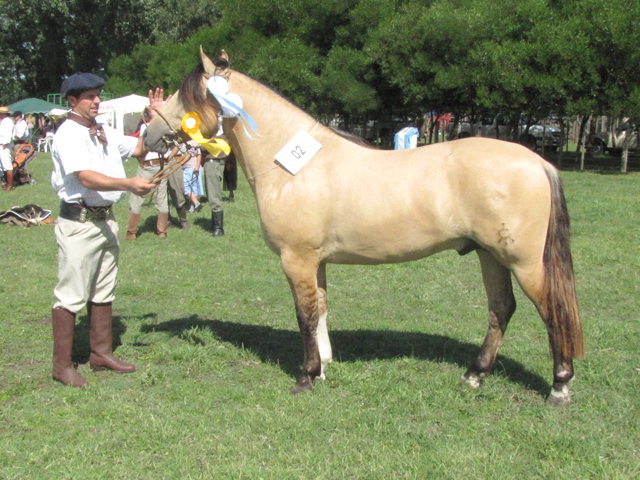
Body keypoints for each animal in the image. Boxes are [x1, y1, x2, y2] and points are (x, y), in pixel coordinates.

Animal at [145, 48, 584, 404]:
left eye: (186, 95)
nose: (149, 134)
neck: (291, 165)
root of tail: (537, 161)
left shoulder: (297, 259)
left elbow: (304, 315)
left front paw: (305, 377)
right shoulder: (316, 262)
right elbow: (320, 309)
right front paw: (323, 368)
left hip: (524, 262)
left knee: (551, 311)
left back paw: (560, 386)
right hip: (490, 255)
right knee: (500, 310)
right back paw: (474, 376)